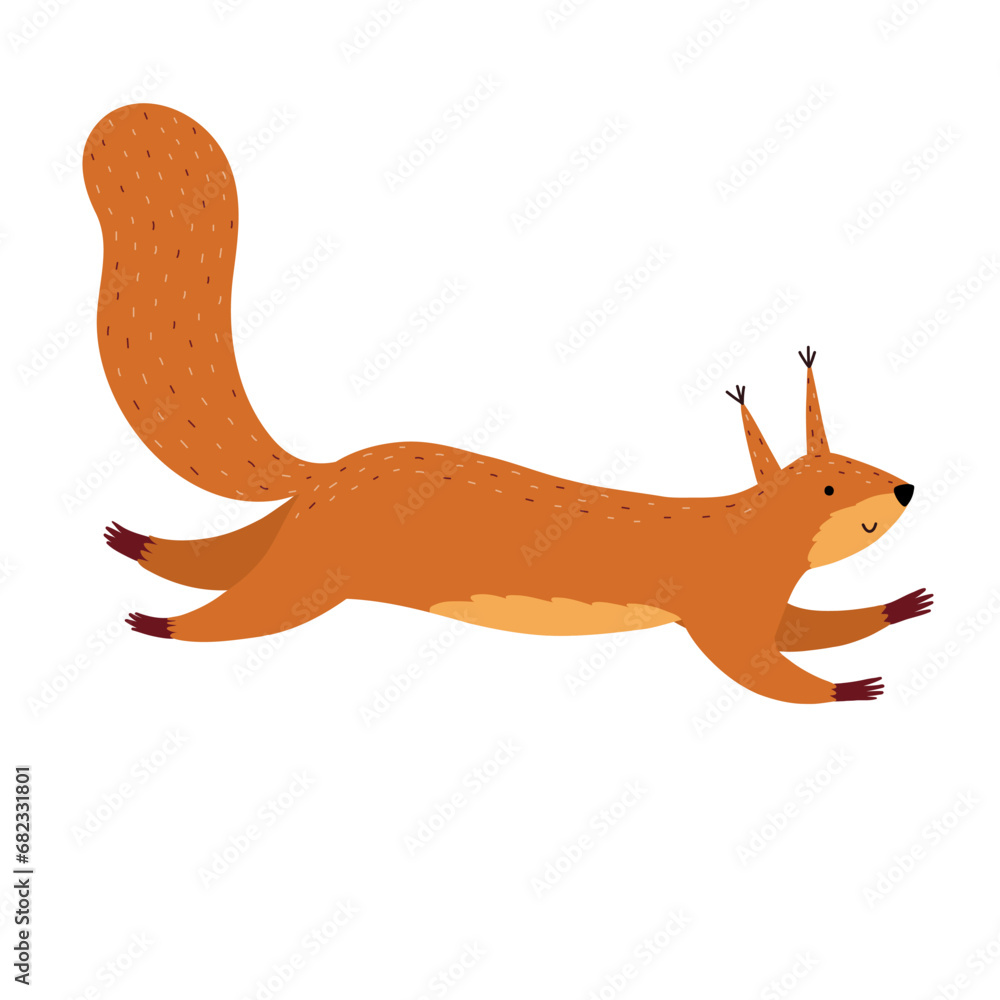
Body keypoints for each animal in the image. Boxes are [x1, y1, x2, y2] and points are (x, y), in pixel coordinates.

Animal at [83, 103, 932, 705]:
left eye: (861, 461)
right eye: (831, 484)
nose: (903, 489)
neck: (749, 534)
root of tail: (326, 471)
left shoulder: (765, 602)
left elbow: (813, 628)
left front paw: (900, 607)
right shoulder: (723, 607)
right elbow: (761, 663)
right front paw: (849, 686)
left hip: (297, 540)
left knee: (216, 559)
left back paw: (136, 547)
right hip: (316, 570)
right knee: (241, 606)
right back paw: (158, 621)